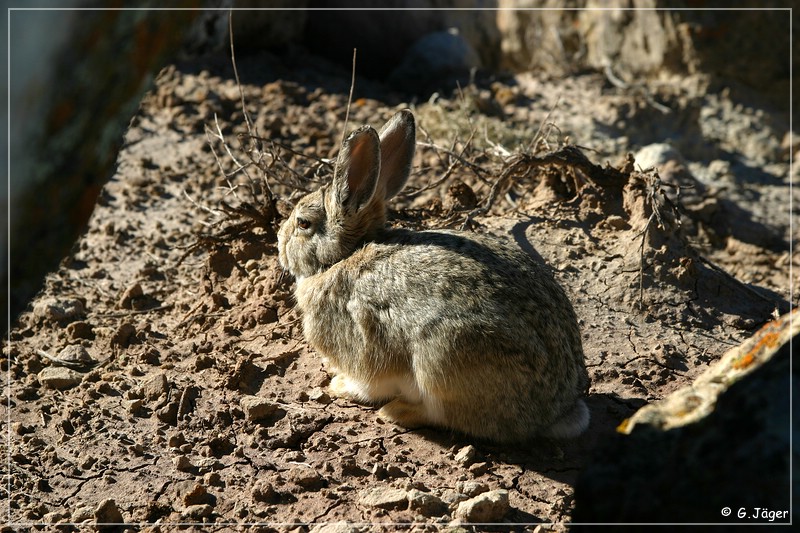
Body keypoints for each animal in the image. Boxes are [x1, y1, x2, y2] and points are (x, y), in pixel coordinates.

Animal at [278, 109, 592, 440]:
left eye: (302, 223)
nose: (278, 242)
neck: (343, 256)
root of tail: (556, 411)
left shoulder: (361, 349)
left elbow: (366, 383)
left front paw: (339, 385)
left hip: (442, 360)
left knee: (444, 414)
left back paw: (396, 411)